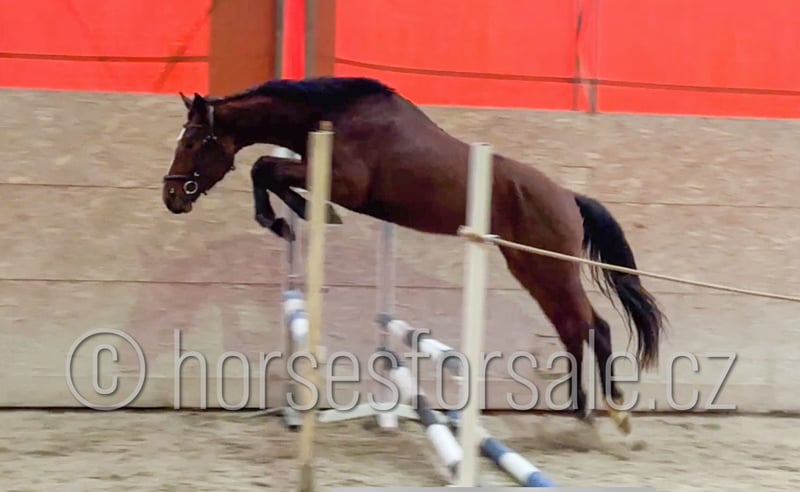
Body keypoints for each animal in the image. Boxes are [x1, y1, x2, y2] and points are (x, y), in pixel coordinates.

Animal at [162, 76, 666, 434]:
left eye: (193, 142)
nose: (171, 198)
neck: (335, 114)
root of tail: (567, 197)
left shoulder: (344, 182)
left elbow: (264, 167)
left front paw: (295, 215)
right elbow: (267, 170)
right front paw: (293, 216)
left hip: (551, 268)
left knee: (593, 326)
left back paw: (614, 412)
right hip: (530, 268)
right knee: (573, 328)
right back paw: (582, 411)